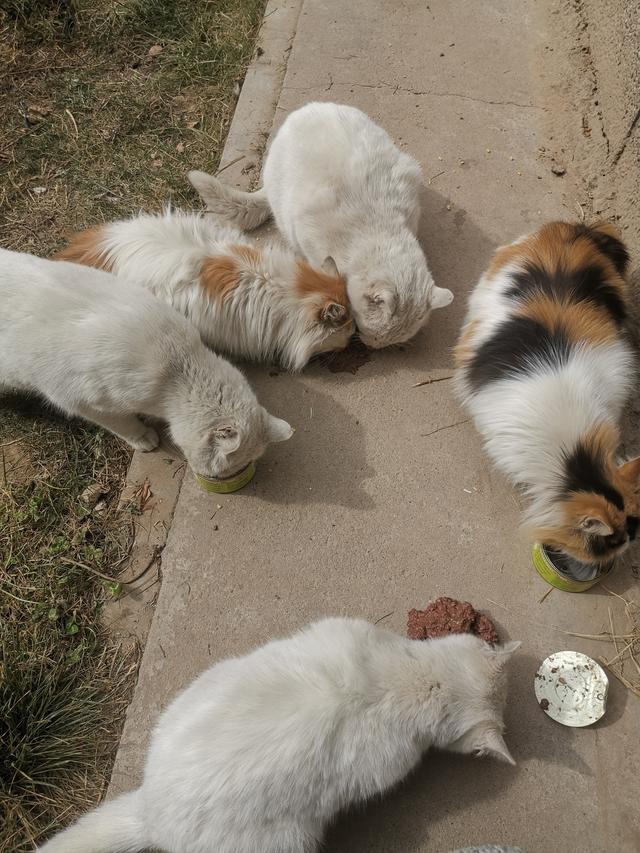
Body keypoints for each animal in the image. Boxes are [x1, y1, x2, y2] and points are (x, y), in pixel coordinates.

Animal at [0, 248, 292, 480]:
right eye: (226, 468)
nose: (220, 478)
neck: (179, 364)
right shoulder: (80, 400)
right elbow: (122, 423)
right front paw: (143, 437)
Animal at [188, 101, 452, 348]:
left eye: (383, 341)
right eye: (372, 334)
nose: (371, 345)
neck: (377, 231)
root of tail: (307, 109)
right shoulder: (308, 237)